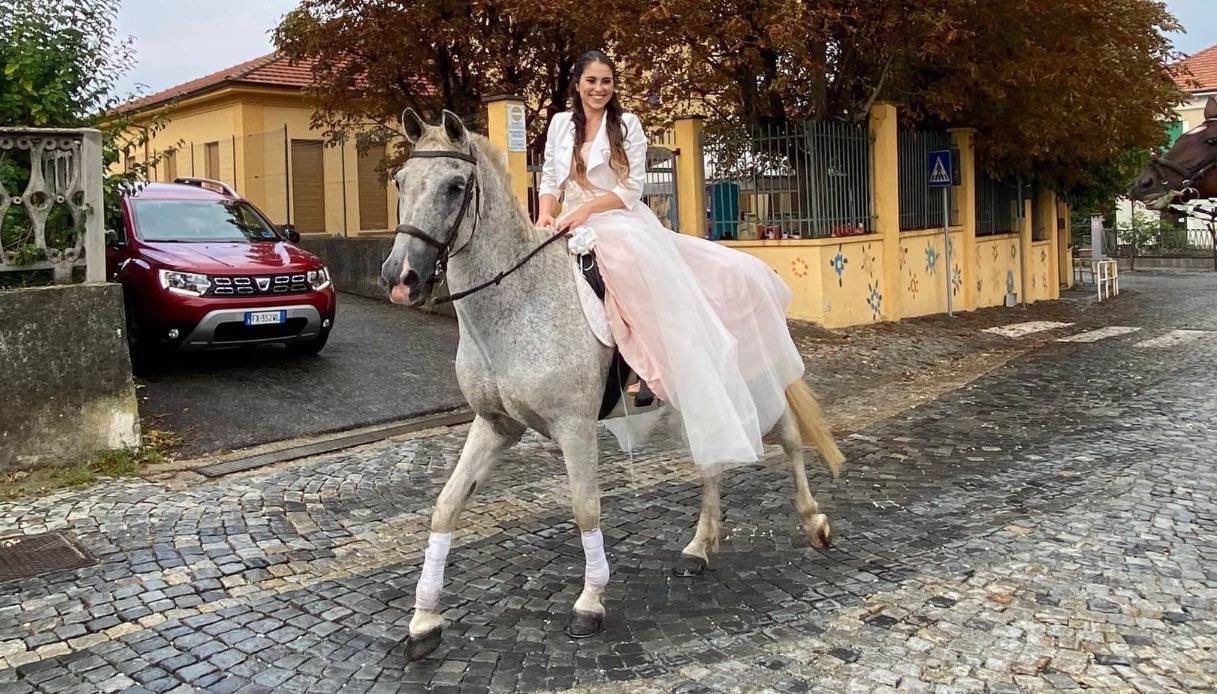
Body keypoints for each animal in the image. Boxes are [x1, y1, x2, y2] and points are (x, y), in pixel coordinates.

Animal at [379, 109, 847, 657]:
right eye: (400, 181)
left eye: (455, 186)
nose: (400, 277)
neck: (519, 302)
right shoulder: (496, 425)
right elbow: (446, 506)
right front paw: (424, 619)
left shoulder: (574, 427)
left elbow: (585, 509)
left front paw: (590, 602)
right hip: (695, 392)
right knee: (712, 460)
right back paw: (699, 549)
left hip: (751, 382)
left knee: (790, 438)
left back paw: (814, 521)